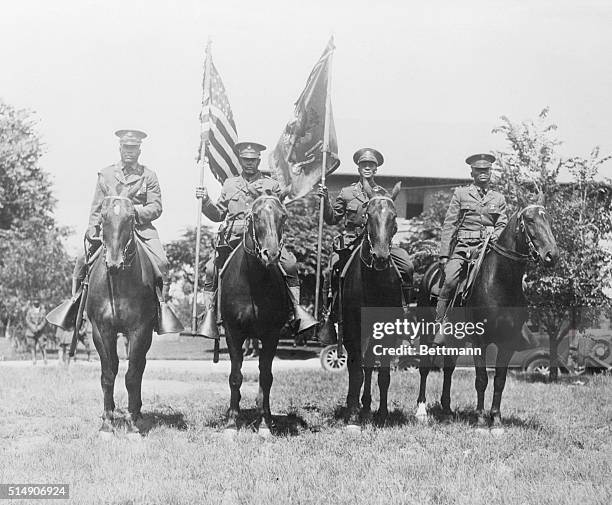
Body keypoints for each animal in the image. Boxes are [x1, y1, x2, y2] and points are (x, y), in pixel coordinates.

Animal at [86, 188, 158, 438]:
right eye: (103, 216)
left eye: (130, 219)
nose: (114, 263)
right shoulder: (101, 330)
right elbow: (108, 374)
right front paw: (107, 424)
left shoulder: (140, 331)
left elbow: (132, 375)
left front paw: (132, 424)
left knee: (140, 368)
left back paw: (137, 413)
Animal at [220, 191, 292, 436]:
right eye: (255, 216)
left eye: (283, 216)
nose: (271, 254)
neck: (254, 282)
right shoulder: (233, 332)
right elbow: (235, 377)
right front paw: (231, 422)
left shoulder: (271, 335)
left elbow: (266, 378)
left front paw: (264, 423)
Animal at [418, 199, 556, 428]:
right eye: (530, 220)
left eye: (548, 219)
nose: (552, 255)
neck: (500, 282)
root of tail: (429, 273)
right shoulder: (479, 340)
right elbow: (481, 379)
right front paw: (482, 419)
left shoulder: (508, 343)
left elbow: (500, 380)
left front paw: (496, 419)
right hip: (426, 334)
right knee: (425, 367)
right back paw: (421, 410)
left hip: (455, 340)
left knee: (448, 369)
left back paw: (447, 411)